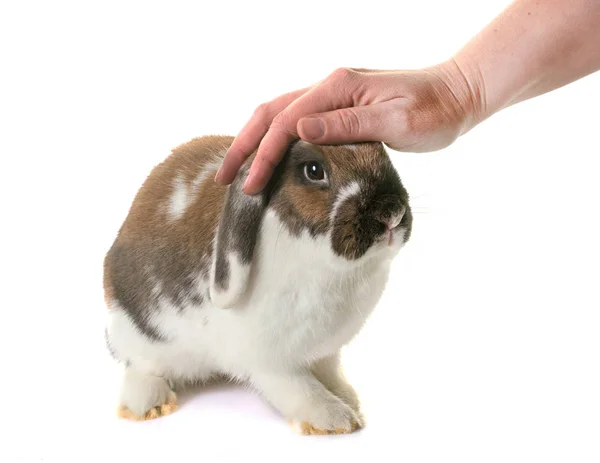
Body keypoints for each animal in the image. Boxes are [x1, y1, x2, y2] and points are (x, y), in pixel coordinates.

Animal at [103, 135, 412, 436]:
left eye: (381, 152)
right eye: (314, 171)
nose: (391, 212)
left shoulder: (325, 351)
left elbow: (329, 371)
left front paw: (349, 399)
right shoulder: (271, 361)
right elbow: (300, 388)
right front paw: (334, 419)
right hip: (139, 332)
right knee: (141, 366)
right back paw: (148, 405)